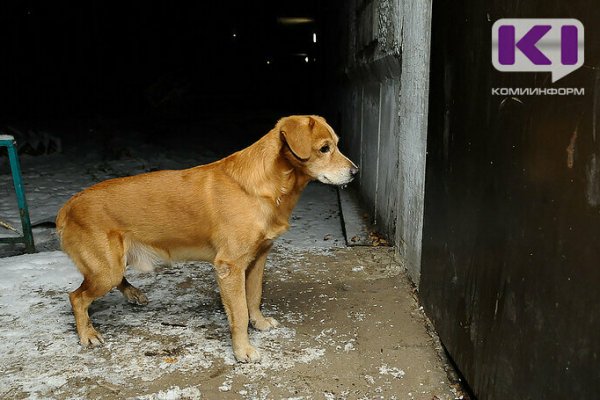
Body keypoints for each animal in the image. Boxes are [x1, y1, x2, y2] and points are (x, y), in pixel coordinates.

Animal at [56, 114, 358, 360]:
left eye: (336, 144)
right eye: (324, 148)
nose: (355, 172)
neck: (268, 186)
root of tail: (68, 205)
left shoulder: (258, 259)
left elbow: (254, 297)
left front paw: (259, 323)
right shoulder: (229, 267)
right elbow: (239, 312)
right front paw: (243, 351)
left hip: (114, 264)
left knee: (109, 283)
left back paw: (133, 294)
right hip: (105, 270)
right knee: (77, 297)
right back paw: (87, 335)